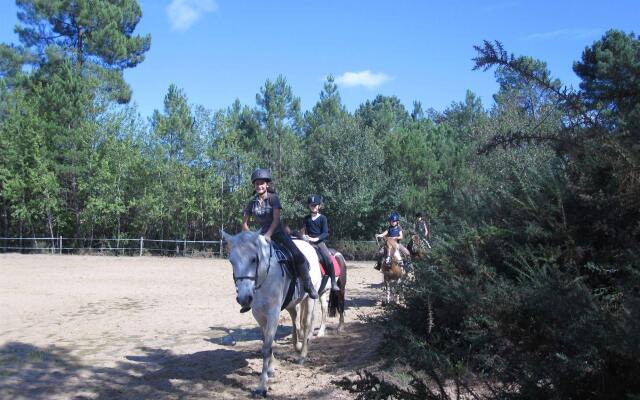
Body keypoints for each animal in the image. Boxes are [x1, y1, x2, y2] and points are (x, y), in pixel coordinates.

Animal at [222, 231, 322, 396]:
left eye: (253, 259)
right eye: (231, 261)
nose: (244, 298)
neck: (264, 277)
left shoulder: (273, 313)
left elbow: (266, 347)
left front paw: (262, 386)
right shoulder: (258, 314)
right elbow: (266, 343)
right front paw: (271, 368)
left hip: (309, 299)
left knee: (306, 323)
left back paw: (302, 355)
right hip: (292, 302)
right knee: (295, 317)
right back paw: (297, 345)